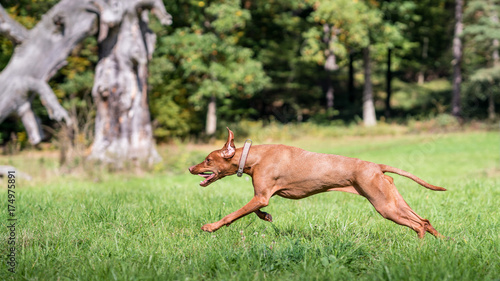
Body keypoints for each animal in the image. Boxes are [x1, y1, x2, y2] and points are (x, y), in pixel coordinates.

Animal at [188, 128, 446, 237]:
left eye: (207, 159)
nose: (191, 168)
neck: (253, 157)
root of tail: (376, 166)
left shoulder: (261, 196)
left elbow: (232, 215)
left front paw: (210, 227)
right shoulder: (262, 196)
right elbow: (256, 211)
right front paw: (266, 217)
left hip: (385, 206)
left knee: (418, 225)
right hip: (392, 200)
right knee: (425, 221)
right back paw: (443, 244)